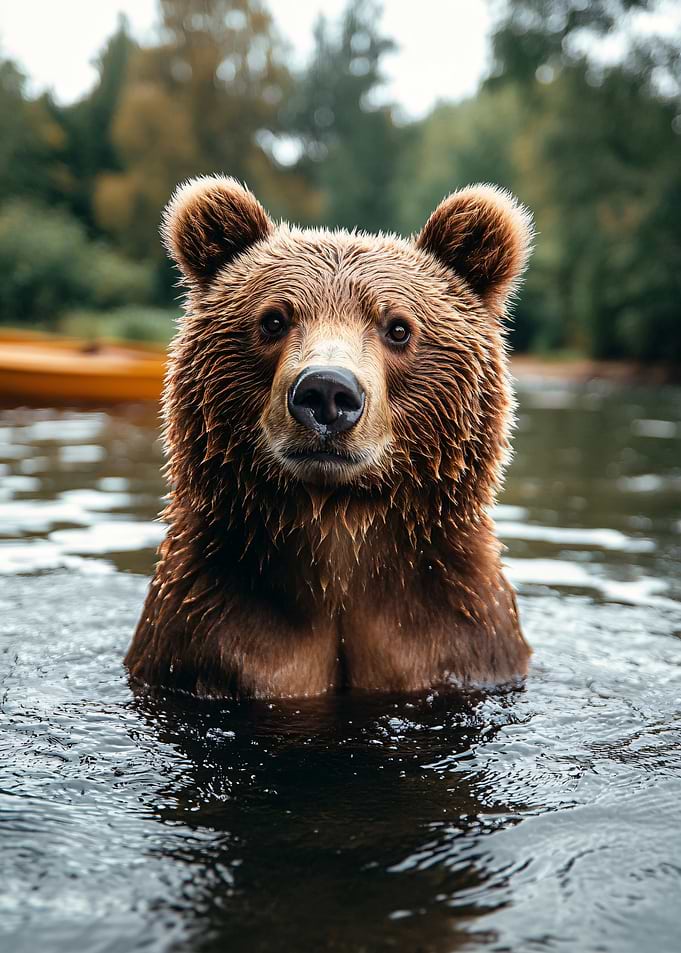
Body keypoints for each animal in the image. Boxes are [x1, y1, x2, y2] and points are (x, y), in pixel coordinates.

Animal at [125, 175, 533, 698]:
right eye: (273, 319)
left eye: (398, 327)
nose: (326, 392)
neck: (337, 535)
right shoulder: (209, 633)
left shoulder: (456, 636)